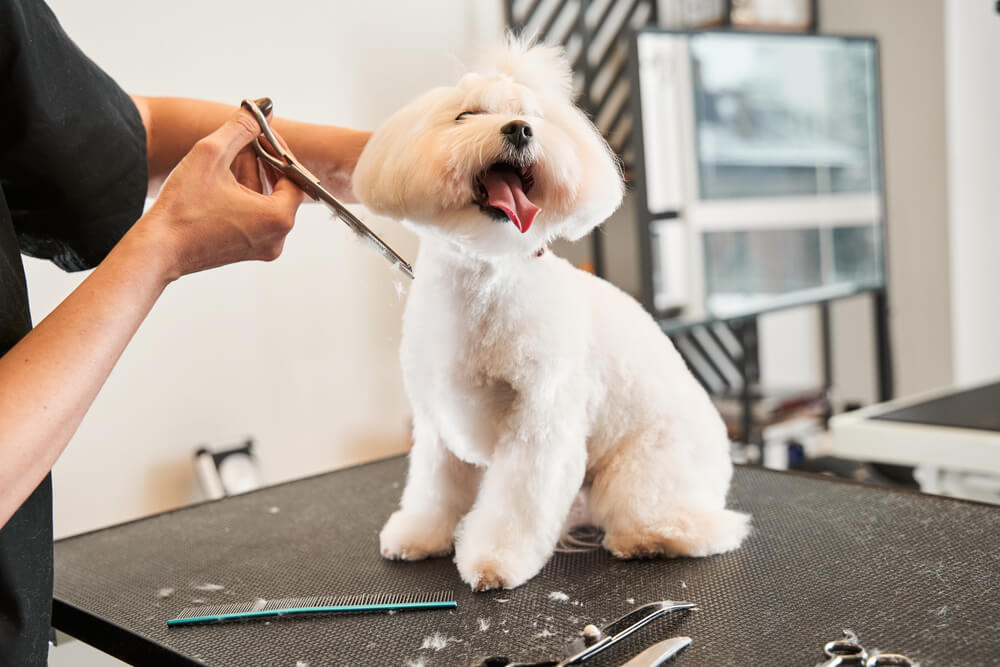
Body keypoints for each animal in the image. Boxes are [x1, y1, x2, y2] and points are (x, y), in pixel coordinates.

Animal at [352, 40, 752, 588]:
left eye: (534, 117)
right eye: (466, 115)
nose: (519, 129)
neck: (486, 276)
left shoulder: (540, 422)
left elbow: (515, 503)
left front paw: (494, 560)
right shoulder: (437, 424)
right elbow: (435, 490)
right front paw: (420, 534)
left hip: (644, 470)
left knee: (703, 525)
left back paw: (648, 538)